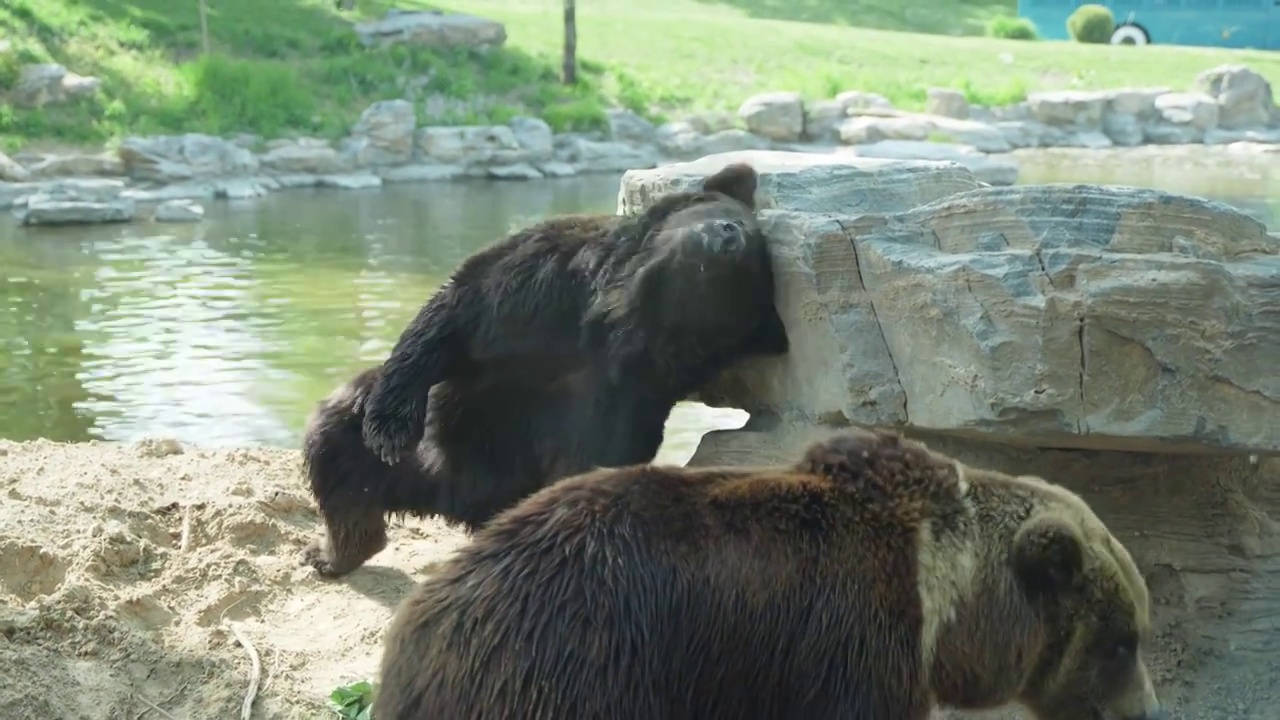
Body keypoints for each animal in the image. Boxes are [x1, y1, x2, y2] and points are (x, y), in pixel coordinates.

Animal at [296, 163, 788, 576]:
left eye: (751, 262)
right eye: (738, 219)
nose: (731, 235)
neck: (622, 312)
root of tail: (459, 504)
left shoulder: (623, 395)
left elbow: (591, 457)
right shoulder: (542, 286)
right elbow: (450, 317)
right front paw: (389, 429)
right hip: (423, 462)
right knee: (339, 442)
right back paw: (332, 552)